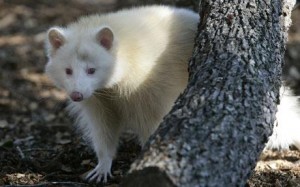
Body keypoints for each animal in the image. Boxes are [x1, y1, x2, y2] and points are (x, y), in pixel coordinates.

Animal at [45, 4, 300, 183]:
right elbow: (103, 126)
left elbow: (150, 121)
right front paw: (104, 161)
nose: (76, 95)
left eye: (91, 70)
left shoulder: (146, 85)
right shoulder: (97, 98)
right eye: (68, 70)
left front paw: (148, 154)